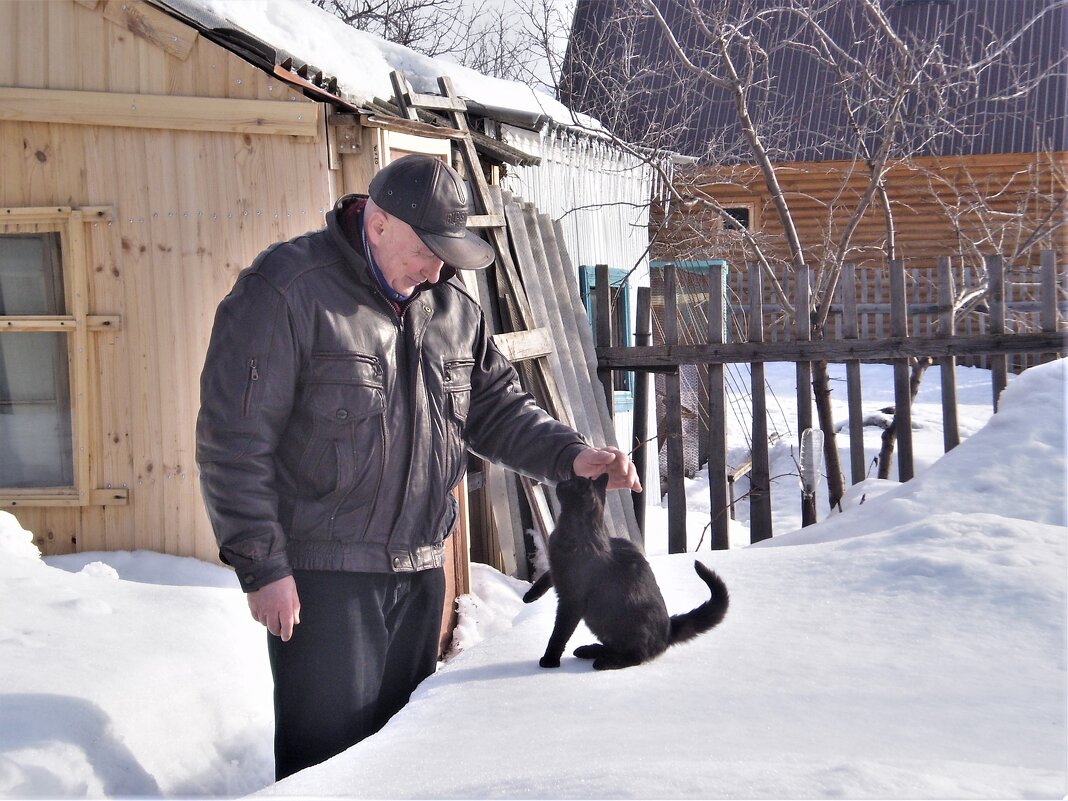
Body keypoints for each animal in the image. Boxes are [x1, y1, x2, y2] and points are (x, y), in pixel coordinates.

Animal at [523, 476, 730, 670]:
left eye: (570, 483)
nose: (559, 483)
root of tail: (668, 630)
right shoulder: (557, 567)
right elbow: (546, 576)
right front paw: (530, 596)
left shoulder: (571, 600)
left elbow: (559, 633)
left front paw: (549, 659)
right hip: (600, 624)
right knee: (615, 646)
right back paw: (590, 650)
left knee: (636, 655)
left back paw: (604, 661)